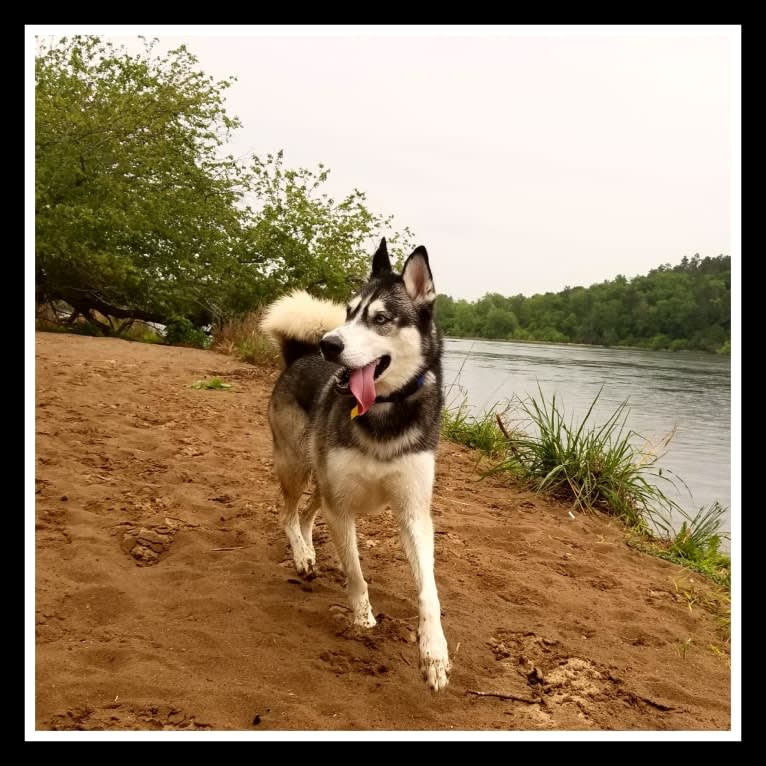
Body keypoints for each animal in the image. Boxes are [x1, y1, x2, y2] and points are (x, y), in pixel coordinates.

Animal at [260, 237, 450, 692]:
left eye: (380, 318)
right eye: (348, 312)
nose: (329, 344)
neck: (384, 411)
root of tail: (298, 356)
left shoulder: (413, 512)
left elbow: (428, 591)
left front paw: (434, 654)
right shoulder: (341, 506)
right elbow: (356, 572)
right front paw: (363, 618)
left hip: (324, 480)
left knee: (306, 513)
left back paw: (309, 549)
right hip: (297, 466)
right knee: (288, 513)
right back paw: (302, 556)